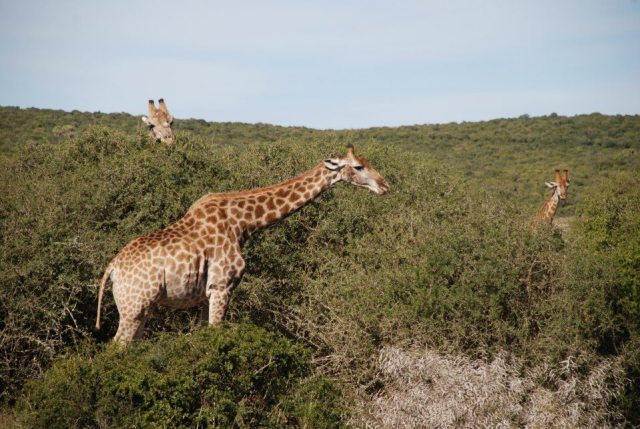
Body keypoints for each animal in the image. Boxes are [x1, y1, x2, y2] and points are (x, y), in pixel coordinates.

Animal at [95, 144, 390, 342]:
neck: (243, 224)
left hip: (141, 308)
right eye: (359, 166)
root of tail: (112, 268)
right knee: (117, 345)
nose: (385, 186)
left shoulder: (205, 294)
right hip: (134, 306)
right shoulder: (222, 285)